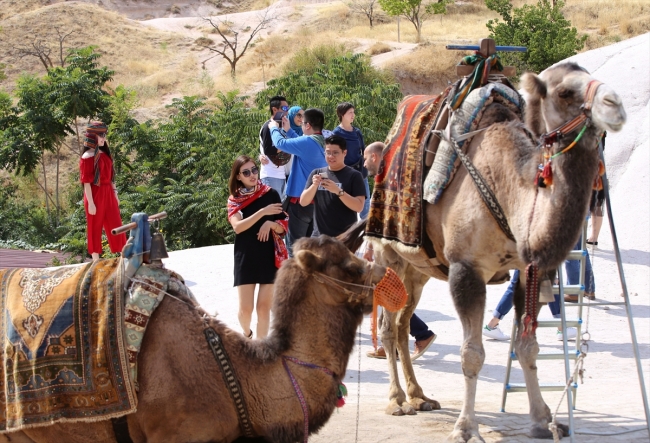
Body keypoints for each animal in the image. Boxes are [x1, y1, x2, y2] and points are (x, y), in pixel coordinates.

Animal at [340, 63, 624, 443]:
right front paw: (465, 427)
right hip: (389, 256)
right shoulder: (466, 269)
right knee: (387, 326)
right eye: (564, 92)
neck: (506, 183)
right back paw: (397, 400)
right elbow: (471, 354)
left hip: (419, 273)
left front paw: (543, 420)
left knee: (401, 324)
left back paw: (420, 396)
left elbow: (527, 347)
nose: (614, 104)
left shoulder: (529, 270)